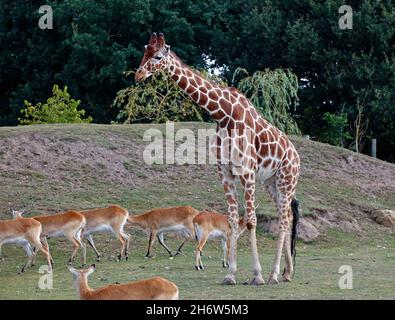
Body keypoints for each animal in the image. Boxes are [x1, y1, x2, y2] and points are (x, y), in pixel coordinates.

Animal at [135, 33, 302, 284]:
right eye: (144, 52)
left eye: (158, 57)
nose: (138, 75)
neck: (223, 114)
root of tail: (295, 154)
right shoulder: (225, 173)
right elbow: (232, 221)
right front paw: (230, 274)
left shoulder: (247, 172)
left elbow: (250, 220)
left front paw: (257, 275)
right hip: (271, 183)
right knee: (288, 216)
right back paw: (287, 272)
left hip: (286, 179)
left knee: (283, 219)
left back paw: (273, 274)